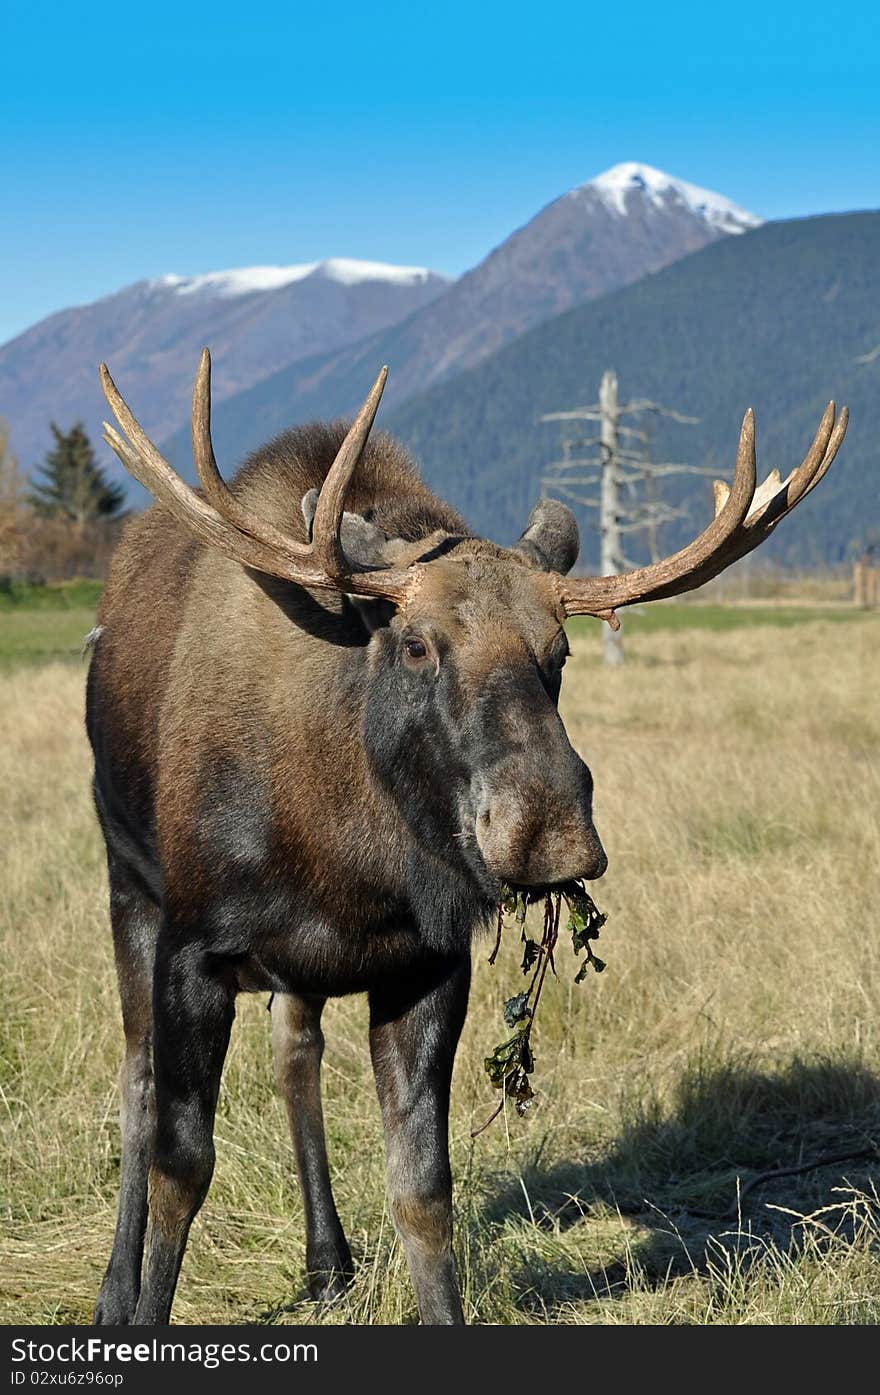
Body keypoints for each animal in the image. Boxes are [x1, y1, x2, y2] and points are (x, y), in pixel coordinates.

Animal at [87, 354, 847, 1322]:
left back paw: (327, 1261)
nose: (549, 829)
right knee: (136, 1081)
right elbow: (180, 1165)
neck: (349, 861)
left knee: (295, 1054)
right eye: (416, 644)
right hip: (127, 880)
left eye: (559, 652)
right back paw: (115, 1288)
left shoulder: (426, 961)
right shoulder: (197, 943)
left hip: (293, 968)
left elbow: (422, 1188)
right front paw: (141, 1305)